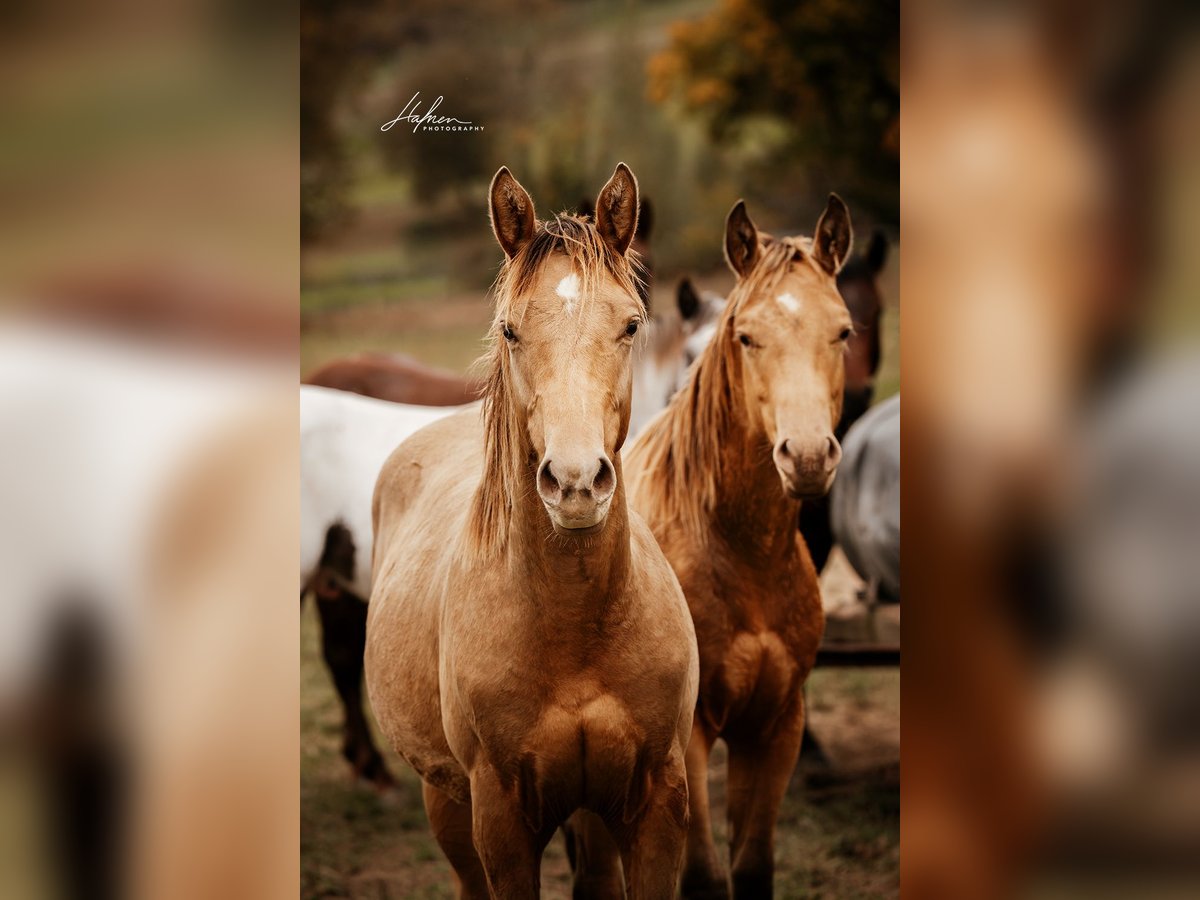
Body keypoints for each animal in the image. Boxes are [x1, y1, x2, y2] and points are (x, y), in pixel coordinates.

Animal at [365, 164, 699, 899]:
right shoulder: (501, 821)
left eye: (631, 323)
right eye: (511, 330)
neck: (576, 631)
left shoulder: (656, 806)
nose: (575, 481)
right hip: (447, 800)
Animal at [617, 196, 855, 898]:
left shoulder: (774, 728)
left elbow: (752, 868)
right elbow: (701, 874)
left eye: (843, 332)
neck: (743, 554)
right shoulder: (690, 734)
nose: (808, 457)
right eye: (747, 336)